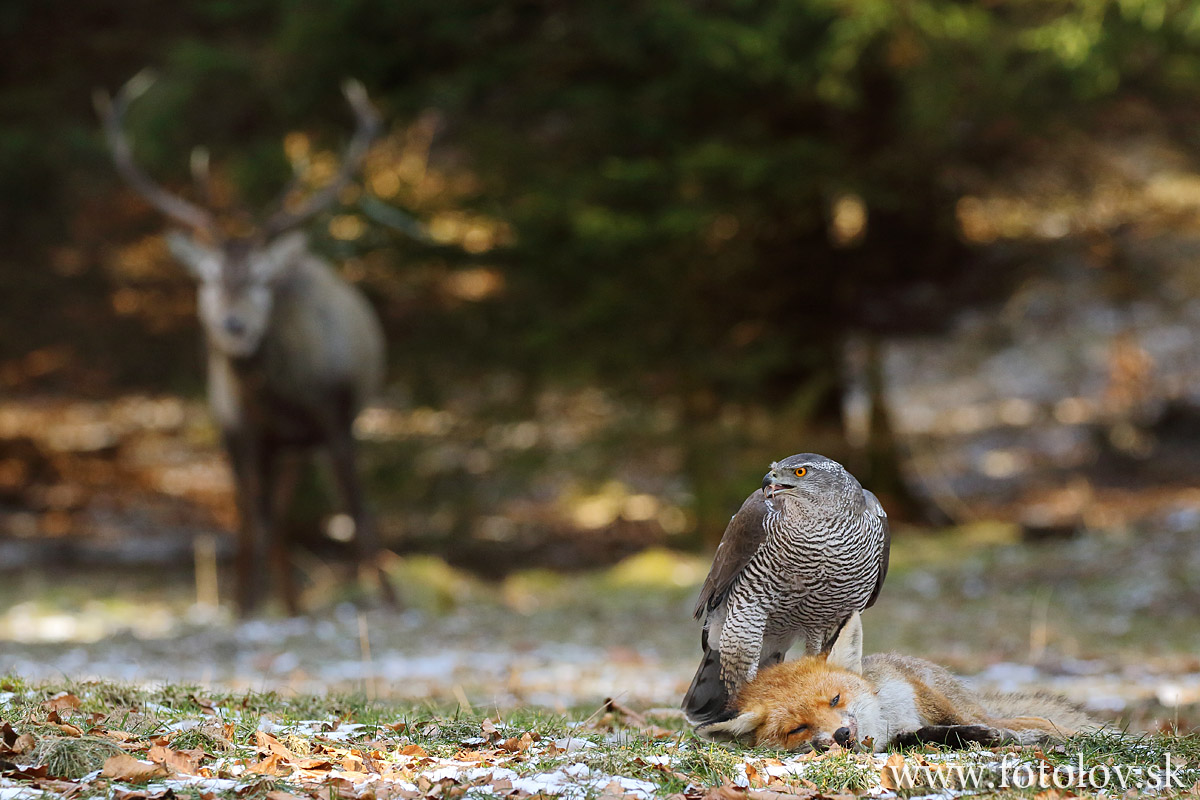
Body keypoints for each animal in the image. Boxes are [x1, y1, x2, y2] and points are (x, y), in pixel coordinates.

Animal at [95, 73, 393, 614]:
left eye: (259, 278)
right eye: (208, 278)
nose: (233, 326)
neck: (283, 398)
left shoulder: (337, 416)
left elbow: (359, 512)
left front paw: (392, 601)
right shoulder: (243, 431)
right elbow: (258, 519)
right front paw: (248, 606)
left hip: (299, 446)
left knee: (284, 508)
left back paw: (292, 601)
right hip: (238, 435)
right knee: (254, 514)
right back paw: (258, 600)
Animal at [700, 614, 1099, 753]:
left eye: (835, 699)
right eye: (797, 729)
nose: (841, 735)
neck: (887, 722)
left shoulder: (915, 689)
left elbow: (956, 721)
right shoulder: (901, 738)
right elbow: (932, 735)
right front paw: (972, 738)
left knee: (1032, 719)